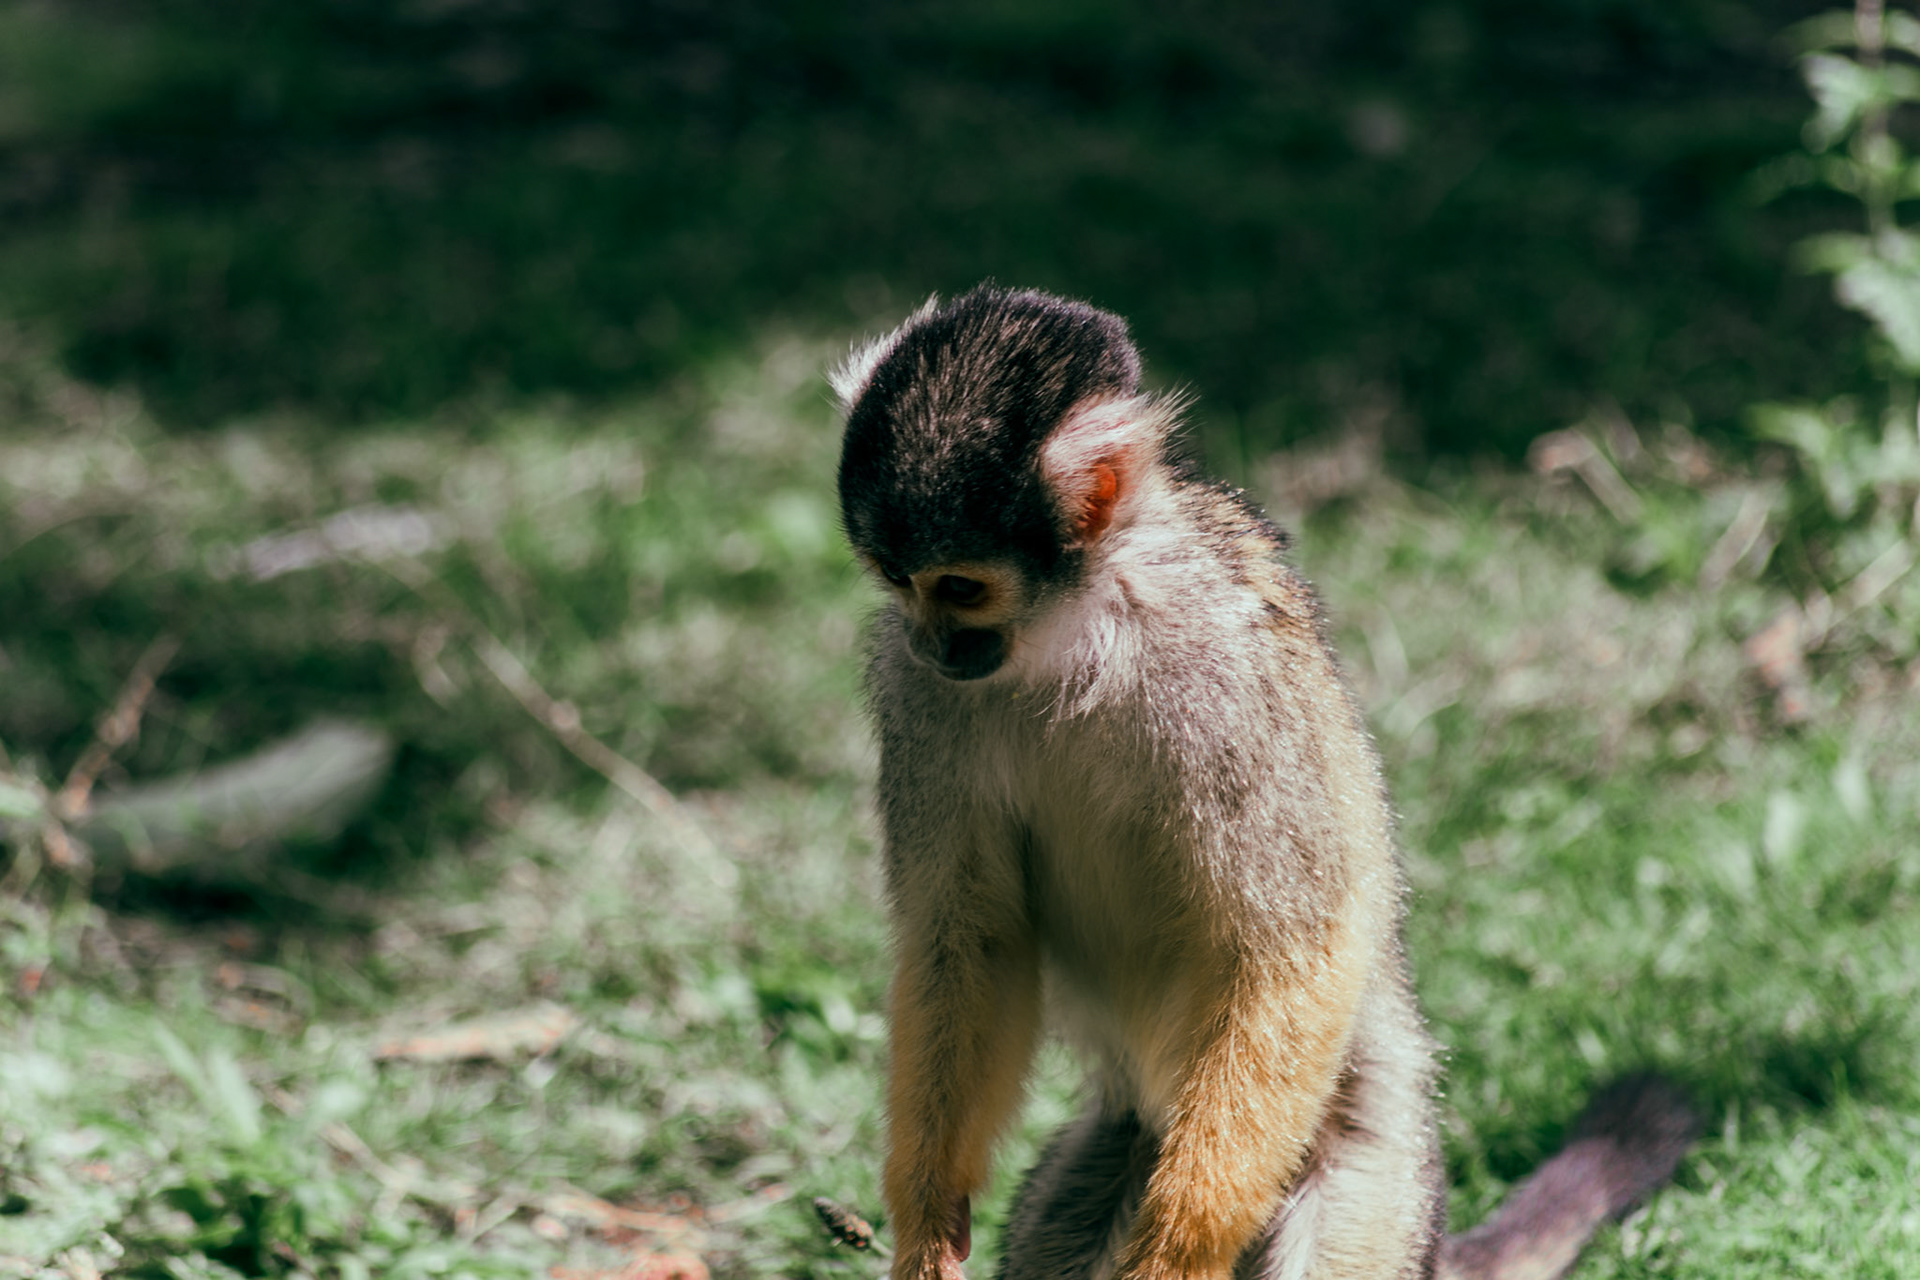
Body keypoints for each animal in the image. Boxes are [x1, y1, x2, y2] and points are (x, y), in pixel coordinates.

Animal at [832, 286, 1696, 1280]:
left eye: (962, 588)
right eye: (899, 582)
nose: (932, 641)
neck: (1076, 630)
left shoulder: (1223, 674)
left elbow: (1286, 945)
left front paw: (1179, 1246)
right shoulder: (914, 697)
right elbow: (971, 938)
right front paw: (928, 1218)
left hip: (1378, 1171)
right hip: (1128, 1130)